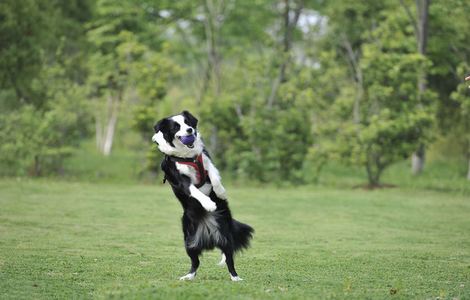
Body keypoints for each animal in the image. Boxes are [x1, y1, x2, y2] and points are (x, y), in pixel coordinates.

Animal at [152, 110, 253, 282]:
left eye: (188, 122)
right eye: (176, 127)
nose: (189, 131)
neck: (188, 156)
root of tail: (208, 234)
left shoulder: (206, 162)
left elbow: (214, 176)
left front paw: (220, 192)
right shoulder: (181, 180)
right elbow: (195, 191)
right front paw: (209, 204)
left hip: (225, 236)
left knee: (229, 260)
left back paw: (235, 278)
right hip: (189, 241)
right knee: (195, 262)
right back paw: (188, 276)